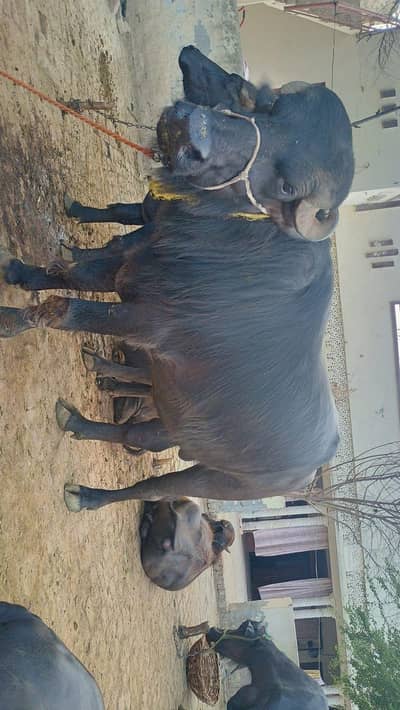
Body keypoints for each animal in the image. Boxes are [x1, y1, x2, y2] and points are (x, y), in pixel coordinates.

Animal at [0, 46, 354, 508]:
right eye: (266, 104)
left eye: (288, 187)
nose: (188, 131)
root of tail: (309, 473)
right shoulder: (130, 268)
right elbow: (73, 275)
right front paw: (19, 272)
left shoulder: (147, 323)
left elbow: (63, 309)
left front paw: (7, 320)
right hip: (173, 416)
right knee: (133, 431)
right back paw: (85, 409)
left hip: (210, 477)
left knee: (150, 482)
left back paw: (90, 494)